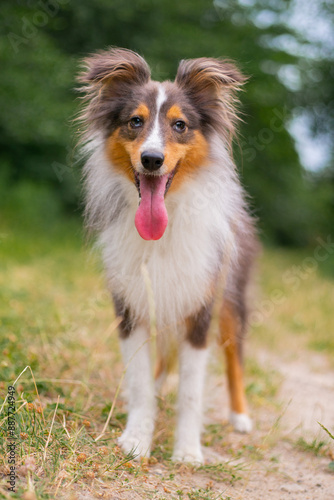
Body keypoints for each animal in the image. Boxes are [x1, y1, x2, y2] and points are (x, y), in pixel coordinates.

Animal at [77, 47, 258, 464]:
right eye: (135, 121)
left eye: (180, 125)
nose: (152, 159)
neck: (166, 222)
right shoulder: (130, 304)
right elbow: (140, 380)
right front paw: (136, 439)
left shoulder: (201, 305)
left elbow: (191, 390)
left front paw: (188, 451)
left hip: (232, 299)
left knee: (234, 358)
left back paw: (240, 416)